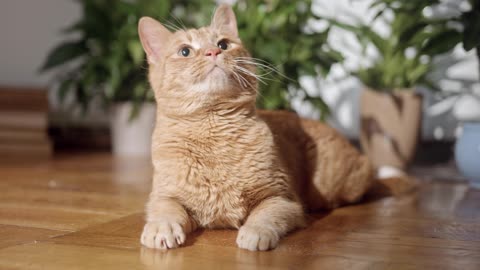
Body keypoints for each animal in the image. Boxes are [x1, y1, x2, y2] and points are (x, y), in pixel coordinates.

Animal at [137, 4, 410, 252]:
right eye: (185, 51)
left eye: (223, 44)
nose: (213, 52)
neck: (213, 132)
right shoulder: (163, 195)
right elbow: (165, 209)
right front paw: (161, 229)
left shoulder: (281, 198)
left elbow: (264, 216)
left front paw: (255, 233)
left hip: (338, 182)